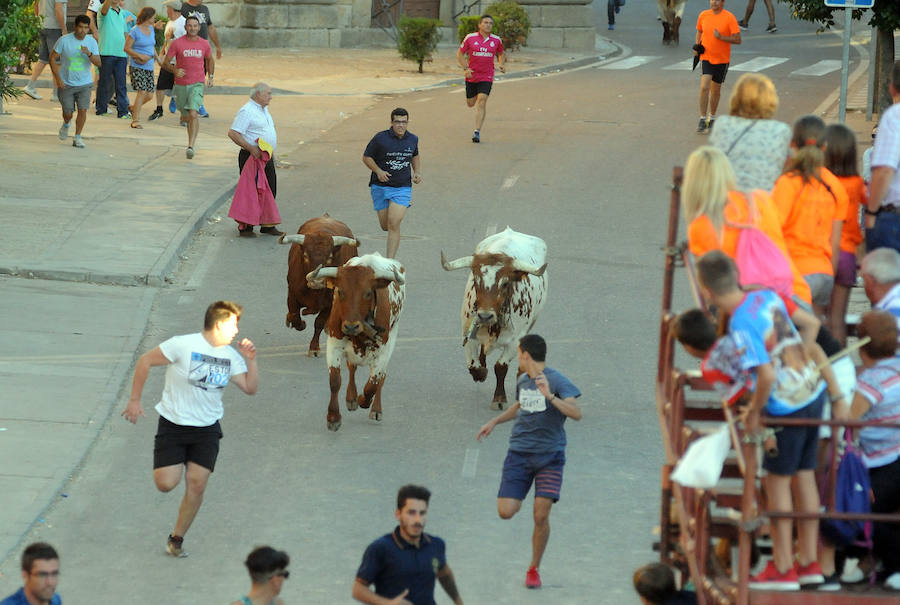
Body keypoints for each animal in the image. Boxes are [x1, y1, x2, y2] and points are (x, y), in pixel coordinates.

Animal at [280, 216, 356, 358]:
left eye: (330, 257)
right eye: (305, 255)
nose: (317, 282)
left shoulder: (330, 303)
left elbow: (319, 323)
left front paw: (314, 348)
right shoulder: (292, 294)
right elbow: (295, 316)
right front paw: (298, 322)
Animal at [310, 252, 408, 432]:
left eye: (368, 293)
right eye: (340, 291)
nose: (351, 326)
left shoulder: (382, 351)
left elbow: (372, 384)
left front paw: (364, 400)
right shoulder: (334, 345)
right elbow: (335, 381)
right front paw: (333, 417)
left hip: (392, 338)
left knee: (381, 377)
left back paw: (375, 409)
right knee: (352, 367)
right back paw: (351, 398)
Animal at [442, 229, 548, 408]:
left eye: (505, 283)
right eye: (476, 281)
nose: (485, 316)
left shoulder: (514, 341)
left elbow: (500, 367)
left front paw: (499, 398)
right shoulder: (468, 334)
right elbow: (474, 366)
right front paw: (481, 372)